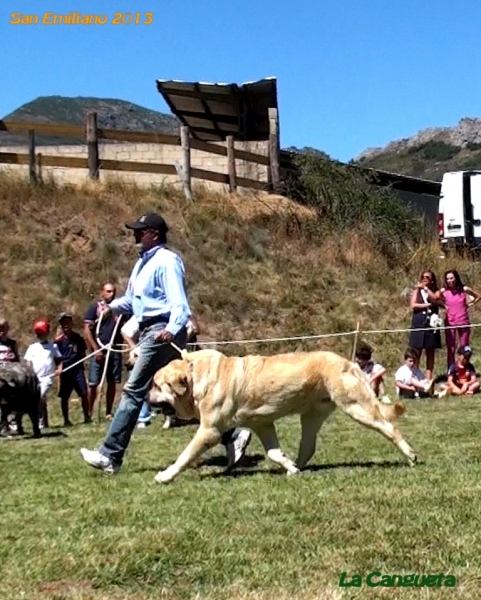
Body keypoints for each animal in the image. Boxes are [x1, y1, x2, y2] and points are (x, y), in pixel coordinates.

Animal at [150, 346, 416, 482]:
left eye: (155, 385)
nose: (145, 396)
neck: (195, 376)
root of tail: (347, 362)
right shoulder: (263, 425)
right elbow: (274, 452)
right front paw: (287, 465)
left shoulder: (209, 432)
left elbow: (184, 456)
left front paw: (165, 475)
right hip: (311, 417)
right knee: (308, 446)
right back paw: (297, 466)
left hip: (356, 407)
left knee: (390, 428)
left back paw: (410, 455)